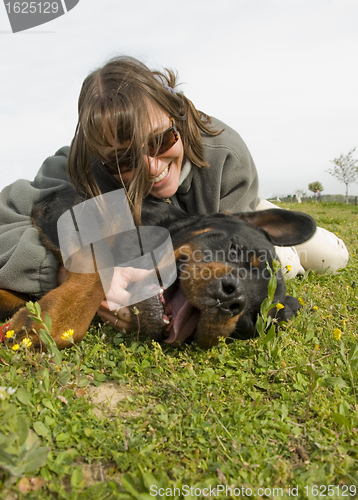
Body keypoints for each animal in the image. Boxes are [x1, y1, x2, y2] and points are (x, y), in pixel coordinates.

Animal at [0, 191, 314, 348]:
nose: (232, 299)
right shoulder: (66, 209)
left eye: (250, 317)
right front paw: (56, 318)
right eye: (234, 249)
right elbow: (100, 263)